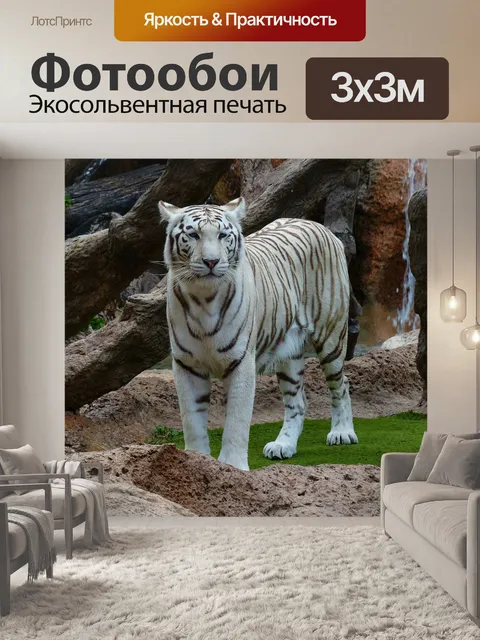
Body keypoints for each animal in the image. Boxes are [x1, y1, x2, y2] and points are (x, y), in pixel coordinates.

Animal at [160, 197, 358, 471]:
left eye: (222, 235)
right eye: (193, 235)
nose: (211, 261)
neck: (203, 298)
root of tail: (319, 226)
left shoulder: (241, 360)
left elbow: (237, 420)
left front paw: (233, 466)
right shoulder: (187, 364)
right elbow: (192, 420)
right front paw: (196, 461)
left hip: (331, 336)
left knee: (341, 384)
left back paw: (342, 432)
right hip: (289, 354)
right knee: (297, 401)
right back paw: (283, 445)